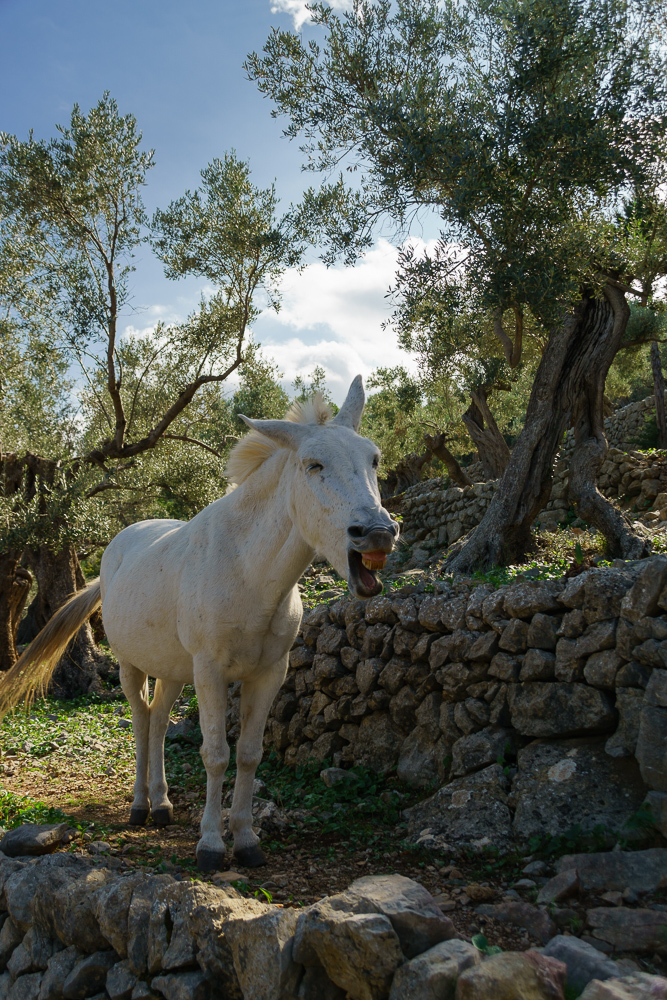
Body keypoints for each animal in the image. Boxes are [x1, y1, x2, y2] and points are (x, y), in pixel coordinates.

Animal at [2, 378, 400, 872]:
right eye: (314, 465)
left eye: (374, 459)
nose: (378, 533)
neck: (248, 572)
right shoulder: (210, 672)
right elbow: (215, 755)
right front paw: (210, 844)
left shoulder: (269, 674)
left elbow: (248, 755)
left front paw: (246, 840)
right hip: (131, 666)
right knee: (140, 722)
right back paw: (139, 806)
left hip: (173, 671)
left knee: (157, 721)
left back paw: (162, 805)